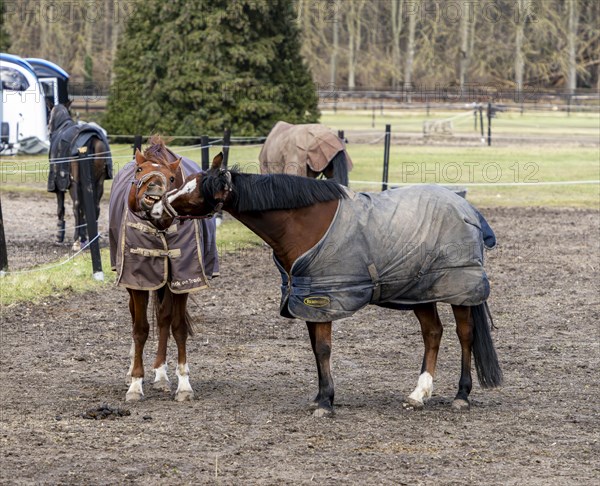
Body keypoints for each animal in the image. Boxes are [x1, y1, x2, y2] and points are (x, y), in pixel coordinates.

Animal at [47, 101, 112, 249]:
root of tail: (90, 138)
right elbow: (85, 209)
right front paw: (85, 235)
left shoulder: (59, 184)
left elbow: (61, 209)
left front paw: (60, 236)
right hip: (98, 182)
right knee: (95, 206)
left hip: (74, 183)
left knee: (76, 206)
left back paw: (76, 240)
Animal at [144, 156, 502, 418]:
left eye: (193, 190)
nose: (155, 209)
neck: (303, 224)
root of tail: (468, 210)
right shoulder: (306, 301)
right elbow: (317, 350)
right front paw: (320, 397)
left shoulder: (324, 300)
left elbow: (325, 349)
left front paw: (326, 403)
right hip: (419, 292)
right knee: (433, 334)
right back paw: (419, 393)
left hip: (459, 291)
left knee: (465, 335)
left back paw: (461, 394)